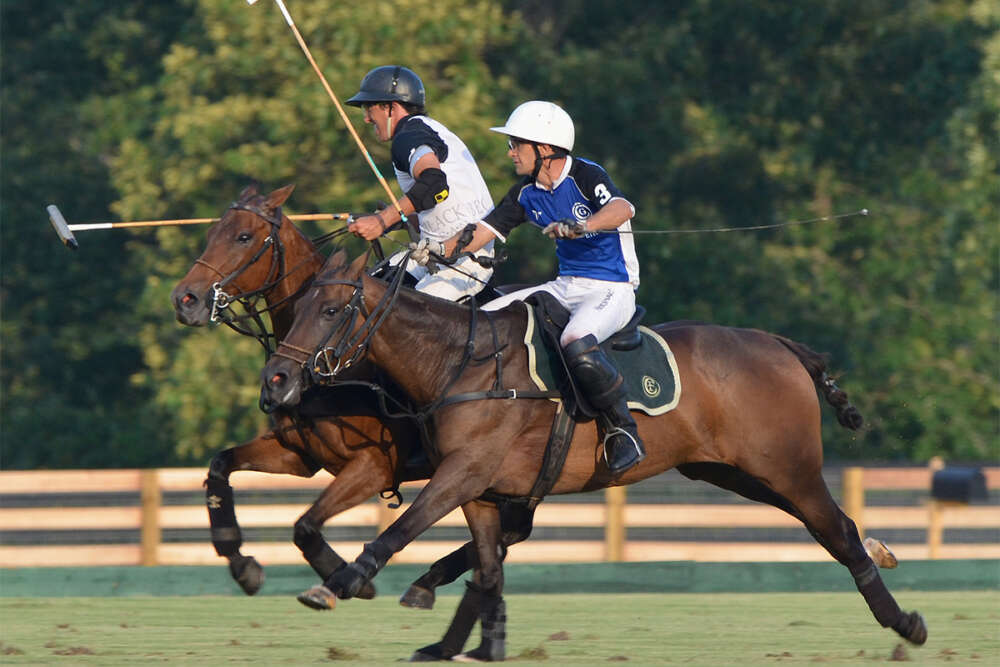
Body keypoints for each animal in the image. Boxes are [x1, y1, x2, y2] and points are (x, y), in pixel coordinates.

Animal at [260, 250, 928, 664]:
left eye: (330, 309)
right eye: (299, 305)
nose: (276, 383)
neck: (458, 362)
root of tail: (780, 344)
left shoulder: (461, 472)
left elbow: (402, 528)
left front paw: (342, 581)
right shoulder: (480, 488)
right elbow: (488, 566)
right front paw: (472, 641)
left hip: (789, 467)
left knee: (837, 529)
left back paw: (904, 622)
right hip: (735, 471)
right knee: (836, 527)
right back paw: (886, 563)